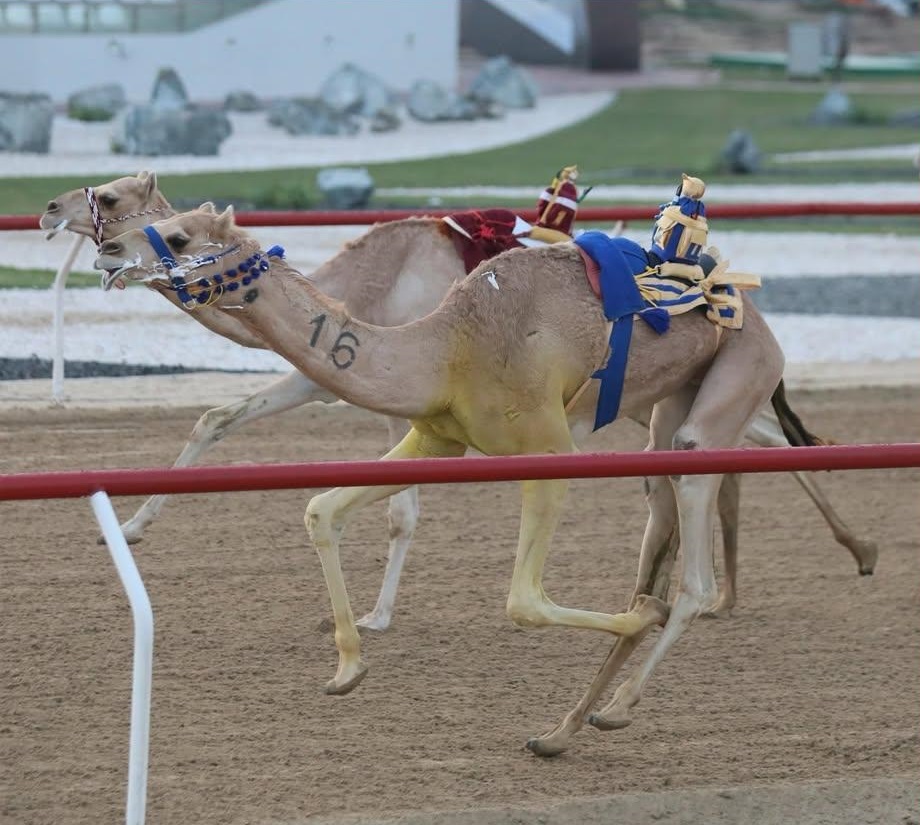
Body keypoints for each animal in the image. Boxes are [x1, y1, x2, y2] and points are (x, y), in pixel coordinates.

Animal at [97, 206, 796, 752]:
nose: (109, 249)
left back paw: (622, 700)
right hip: (667, 408)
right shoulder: (437, 435)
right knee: (667, 515)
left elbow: (524, 601)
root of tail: (746, 301)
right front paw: (347, 668)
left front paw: (639, 619)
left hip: (737, 376)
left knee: (695, 569)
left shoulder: (548, 448)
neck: (447, 346)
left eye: (178, 235)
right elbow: (322, 508)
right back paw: (564, 730)